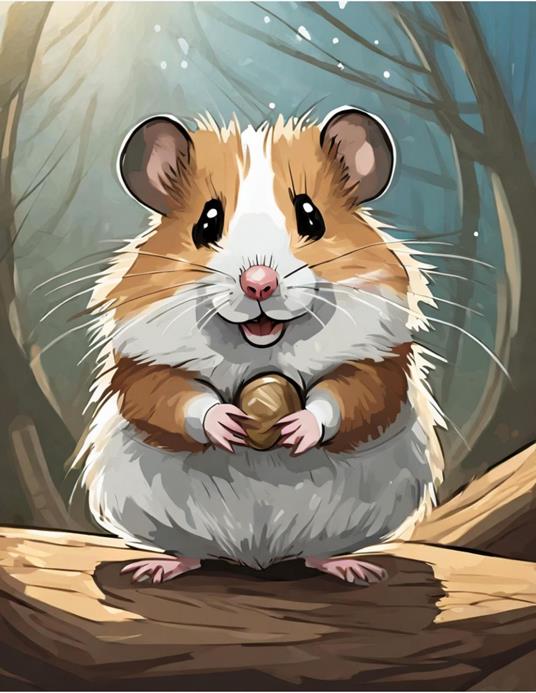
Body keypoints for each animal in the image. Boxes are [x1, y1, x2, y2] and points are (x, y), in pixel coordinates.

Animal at [78, 107, 444, 585]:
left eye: (311, 218)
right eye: (207, 223)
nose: (258, 284)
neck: (262, 348)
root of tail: (257, 555)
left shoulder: (381, 359)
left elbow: (353, 395)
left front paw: (297, 428)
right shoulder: (140, 364)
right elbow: (167, 397)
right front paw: (228, 424)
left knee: (319, 552)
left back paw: (353, 569)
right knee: (190, 550)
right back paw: (155, 567)